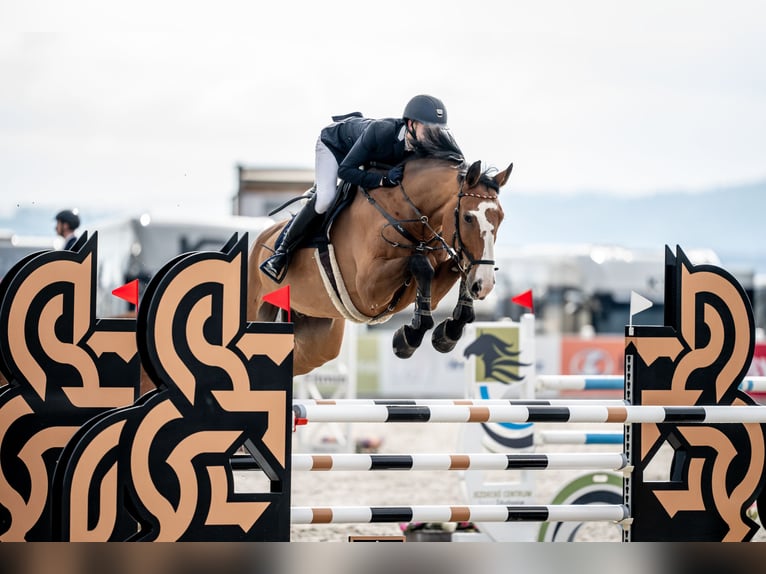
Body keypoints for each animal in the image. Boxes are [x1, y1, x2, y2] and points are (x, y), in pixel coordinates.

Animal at [246, 134, 510, 378]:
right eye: (468, 217)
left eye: (501, 218)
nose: (485, 285)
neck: (406, 216)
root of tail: (261, 238)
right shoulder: (367, 290)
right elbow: (421, 264)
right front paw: (410, 336)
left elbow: (454, 270)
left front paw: (447, 332)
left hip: (318, 336)